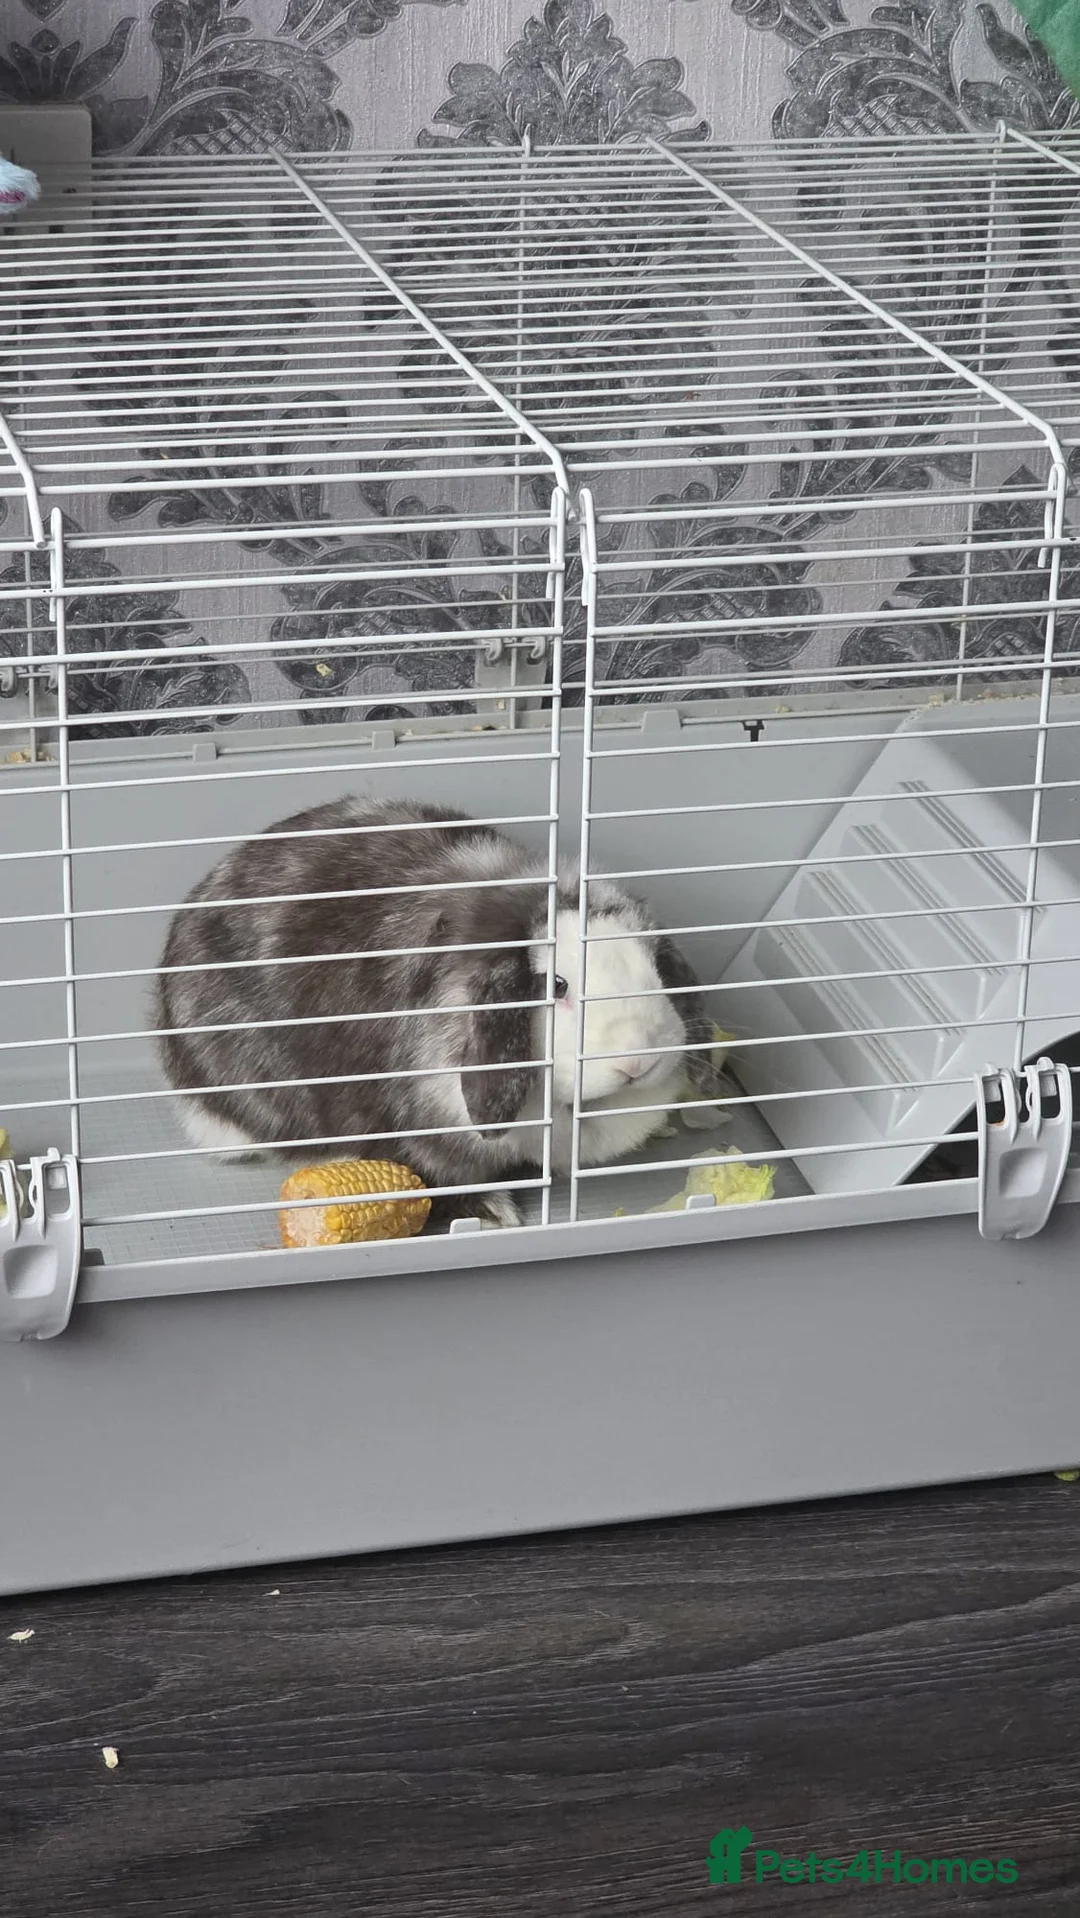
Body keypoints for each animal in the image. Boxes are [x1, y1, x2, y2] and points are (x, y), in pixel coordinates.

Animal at [156, 797, 719, 1229]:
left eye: (655, 967)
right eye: (556, 985)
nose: (637, 1062)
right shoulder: (422, 1128)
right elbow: (437, 1174)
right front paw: (491, 1211)